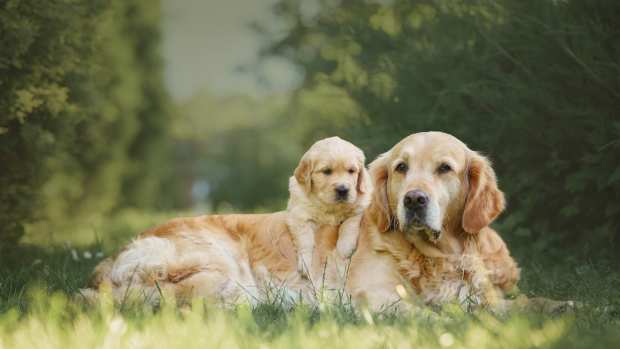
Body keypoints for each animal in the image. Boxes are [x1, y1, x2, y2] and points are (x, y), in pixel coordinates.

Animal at [286, 137, 370, 278]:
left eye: (351, 171)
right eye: (326, 171)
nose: (343, 190)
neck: (330, 206)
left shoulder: (360, 206)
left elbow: (349, 222)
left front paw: (344, 247)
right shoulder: (298, 215)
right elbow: (305, 238)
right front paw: (305, 262)